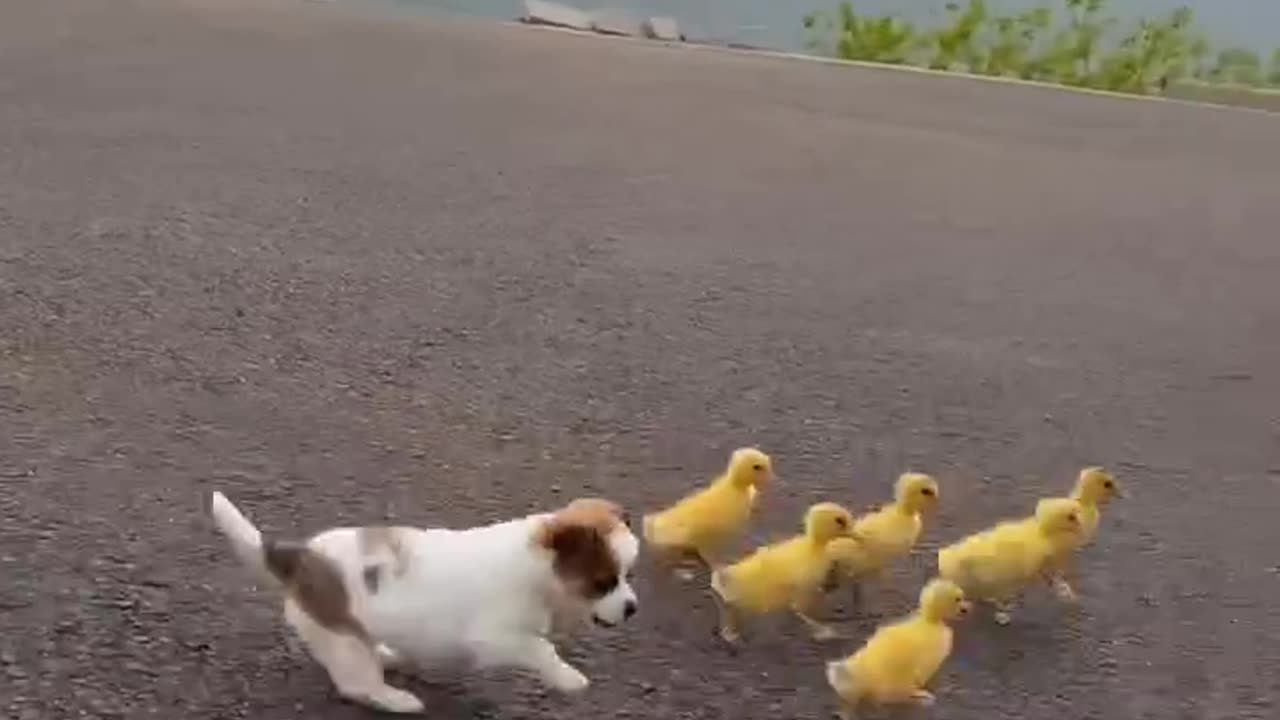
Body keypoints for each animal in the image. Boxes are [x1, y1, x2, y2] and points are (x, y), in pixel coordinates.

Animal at [213, 489, 645, 707]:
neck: (537, 568)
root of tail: (298, 556)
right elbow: (540, 648)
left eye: (628, 576)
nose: (632, 609)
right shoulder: (494, 637)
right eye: (603, 582)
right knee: (357, 684)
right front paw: (568, 678)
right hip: (342, 636)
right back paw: (396, 699)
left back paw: (390, 655)